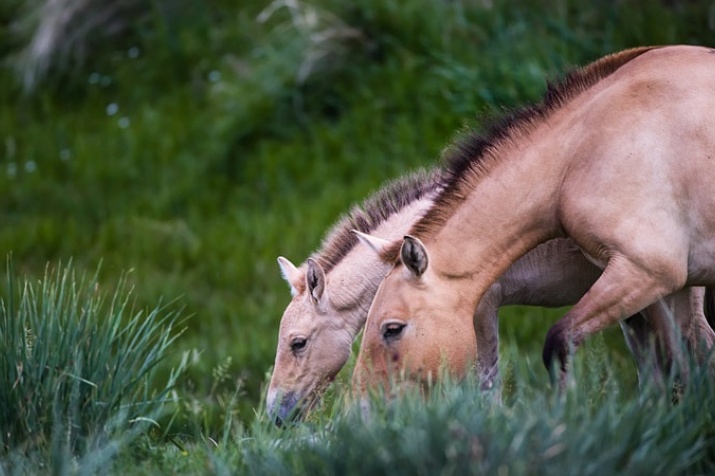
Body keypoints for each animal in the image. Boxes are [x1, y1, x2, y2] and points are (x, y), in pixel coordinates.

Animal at [352, 44, 715, 394]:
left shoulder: (644, 271)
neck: (578, 152)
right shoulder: (670, 287)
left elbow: (558, 343)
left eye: (392, 329)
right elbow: (685, 365)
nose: (366, 405)